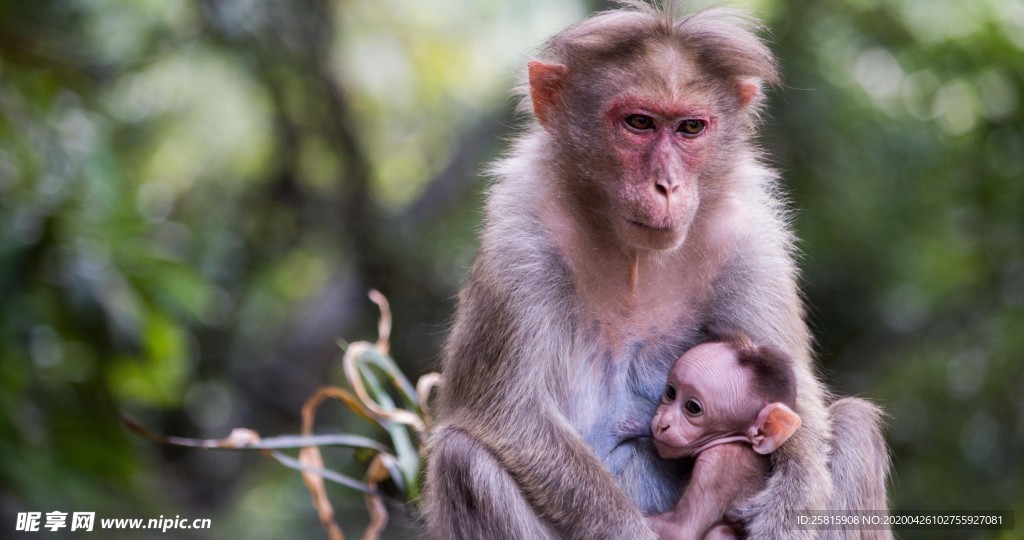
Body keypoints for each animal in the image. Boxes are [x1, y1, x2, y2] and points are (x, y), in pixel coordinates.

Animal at [647, 340, 798, 536]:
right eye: (671, 392)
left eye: (693, 407)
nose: (663, 424)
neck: (737, 441)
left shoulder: (717, 464)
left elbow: (680, 530)